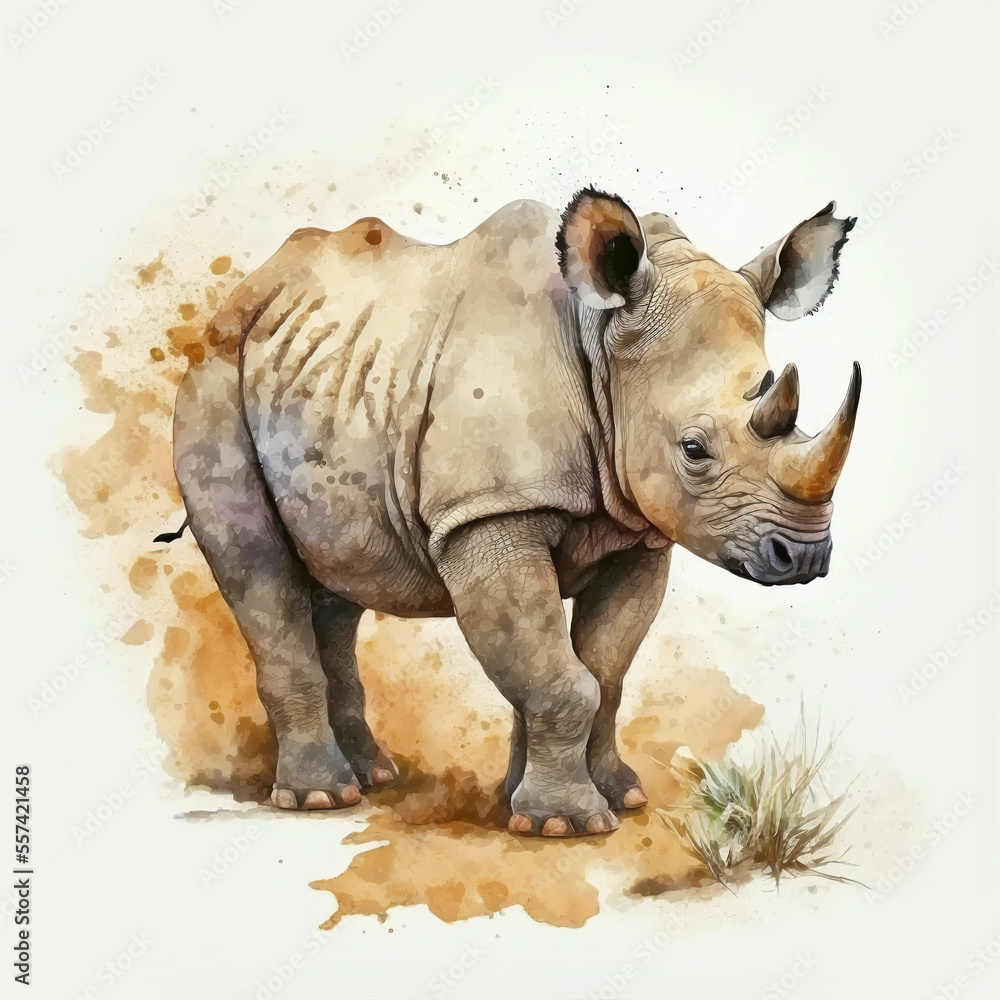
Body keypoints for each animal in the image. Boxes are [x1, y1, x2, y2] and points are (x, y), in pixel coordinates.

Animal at [168, 188, 861, 837]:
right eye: (694, 450)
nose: (804, 555)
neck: (600, 345)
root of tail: (252, 287)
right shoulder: (486, 513)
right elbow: (562, 679)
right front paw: (566, 826)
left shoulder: (640, 532)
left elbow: (601, 673)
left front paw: (592, 802)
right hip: (213, 376)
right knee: (258, 566)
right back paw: (321, 798)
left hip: (330, 374)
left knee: (339, 578)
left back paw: (371, 778)